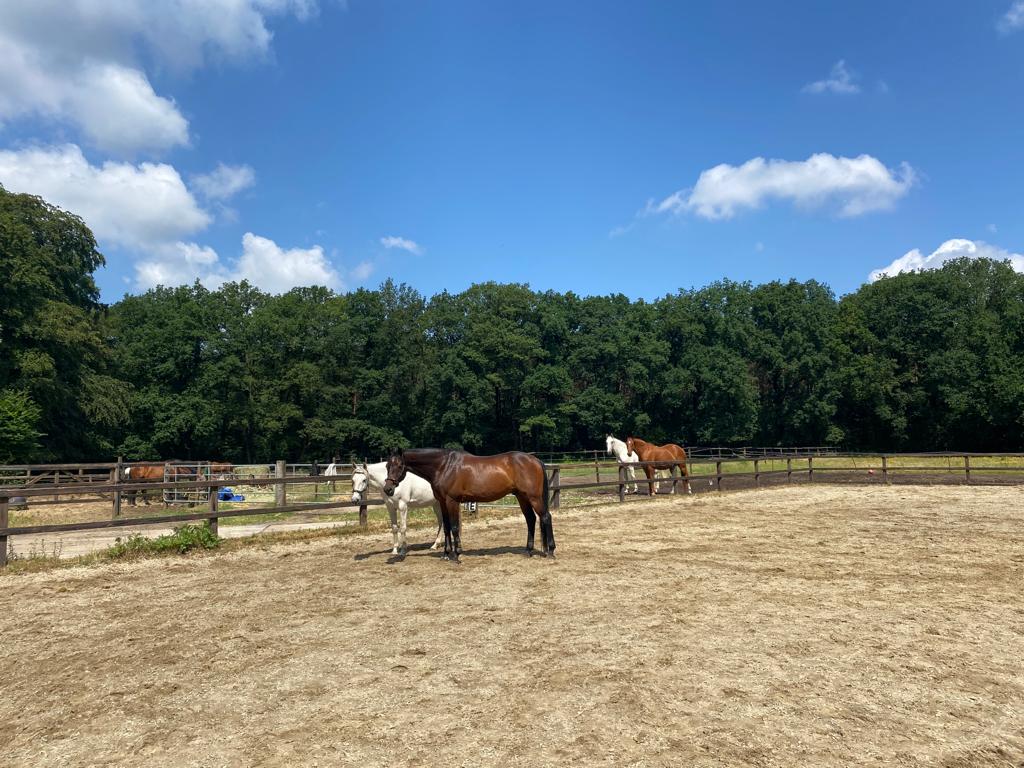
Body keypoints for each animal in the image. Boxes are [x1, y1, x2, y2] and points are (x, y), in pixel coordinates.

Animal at [383, 448, 554, 563]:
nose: (388, 489)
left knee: (546, 517)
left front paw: (456, 554)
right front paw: (446, 554)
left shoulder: (451, 501)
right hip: (522, 497)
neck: (444, 466)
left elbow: (454, 527)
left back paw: (551, 551)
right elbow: (446, 527)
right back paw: (528, 551)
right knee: (531, 519)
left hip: (533, 497)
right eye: (387, 466)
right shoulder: (442, 502)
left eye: (399, 466)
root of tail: (535, 460)